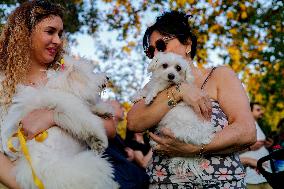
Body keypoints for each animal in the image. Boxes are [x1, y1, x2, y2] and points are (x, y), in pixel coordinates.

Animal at [0, 57, 118, 189]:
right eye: (92, 72)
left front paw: (104, 110)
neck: (65, 89)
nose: (107, 77)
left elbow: (91, 108)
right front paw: (100, 141)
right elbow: (91, 123)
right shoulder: (74, 112)